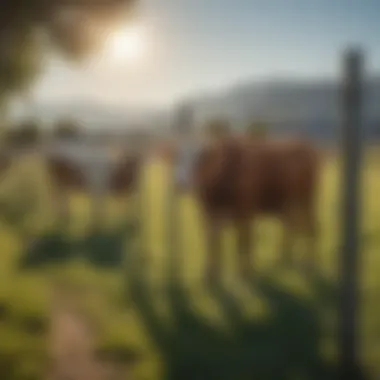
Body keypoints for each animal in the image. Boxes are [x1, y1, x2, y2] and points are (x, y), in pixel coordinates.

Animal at [161, 133, 320, 280]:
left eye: (200, 158)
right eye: (176, 156)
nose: (180, 183)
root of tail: (302, 142)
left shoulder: (244, 214)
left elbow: (243, 243)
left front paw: (245, 272)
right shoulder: (209, 217)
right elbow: (213, 244)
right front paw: (210, 272)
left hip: (305, 201)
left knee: (310, 228)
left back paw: (309, 265)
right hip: (286, 204)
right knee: (291, 227)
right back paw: (284, 259)